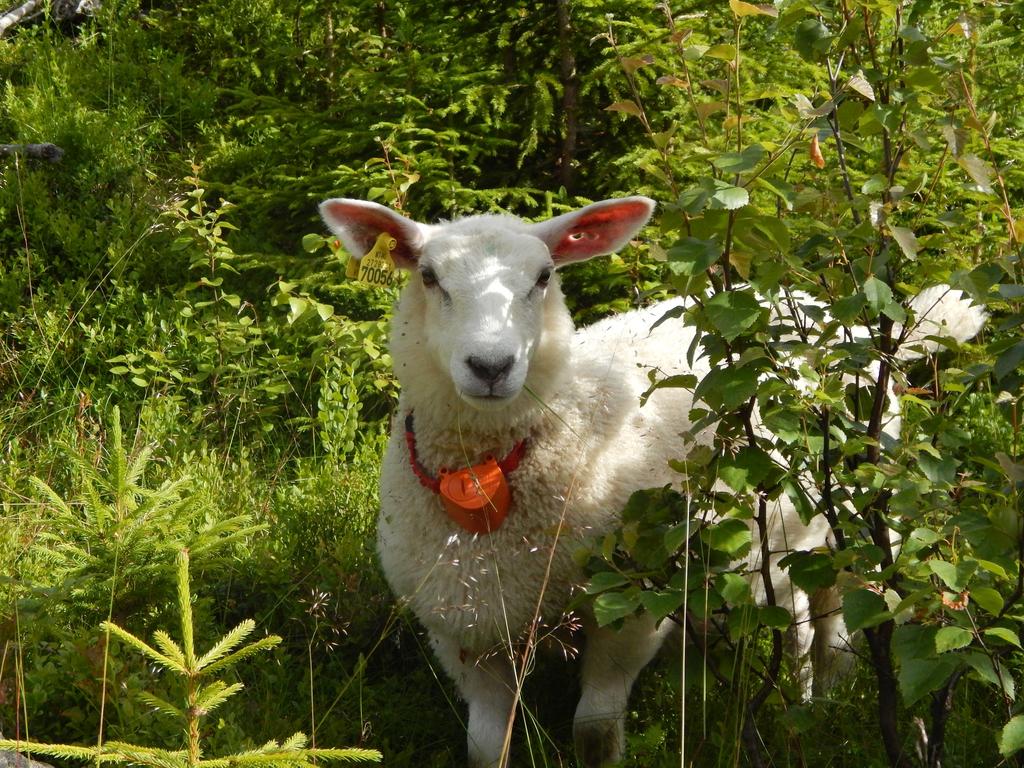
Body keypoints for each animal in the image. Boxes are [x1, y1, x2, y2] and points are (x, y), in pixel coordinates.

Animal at [317, 195, 983, 765]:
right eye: (429, 276)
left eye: (543, 277)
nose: (490, 366)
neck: (489, 476)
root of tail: (855, 330)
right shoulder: (464, 627)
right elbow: (487, 747)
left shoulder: (627, 613)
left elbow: (593, 734)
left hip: (863, 520)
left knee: (836, 627)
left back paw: (820, 707)